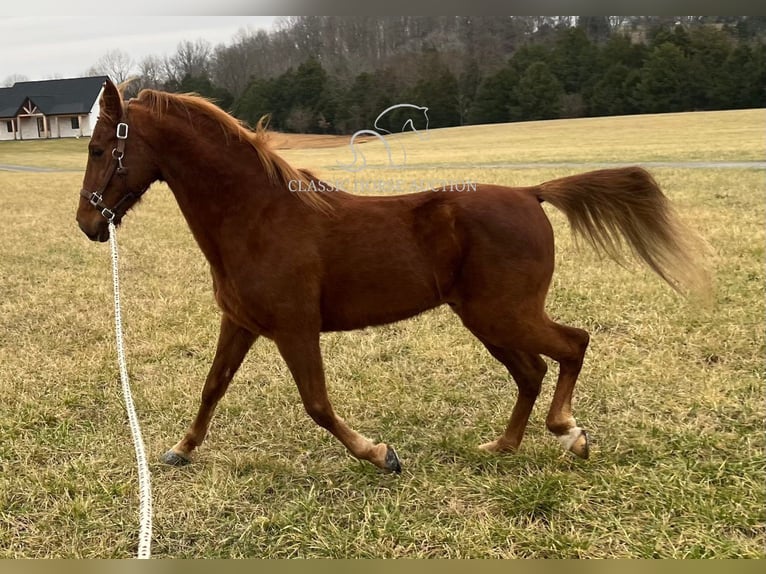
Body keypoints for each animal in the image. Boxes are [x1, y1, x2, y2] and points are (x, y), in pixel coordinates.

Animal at [78, 80, 708, 476]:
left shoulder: (295, 328)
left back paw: (570, 433)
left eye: (101, 147)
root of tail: (531, 194)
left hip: (504, 313)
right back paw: (503, 445)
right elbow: (213, 387)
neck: (257, 215)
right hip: (488, 320)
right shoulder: (242, 322)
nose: (87, 223)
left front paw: (382, 455)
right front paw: (181, 450)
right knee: (531, 371)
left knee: (573, 344)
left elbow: (317, 404)